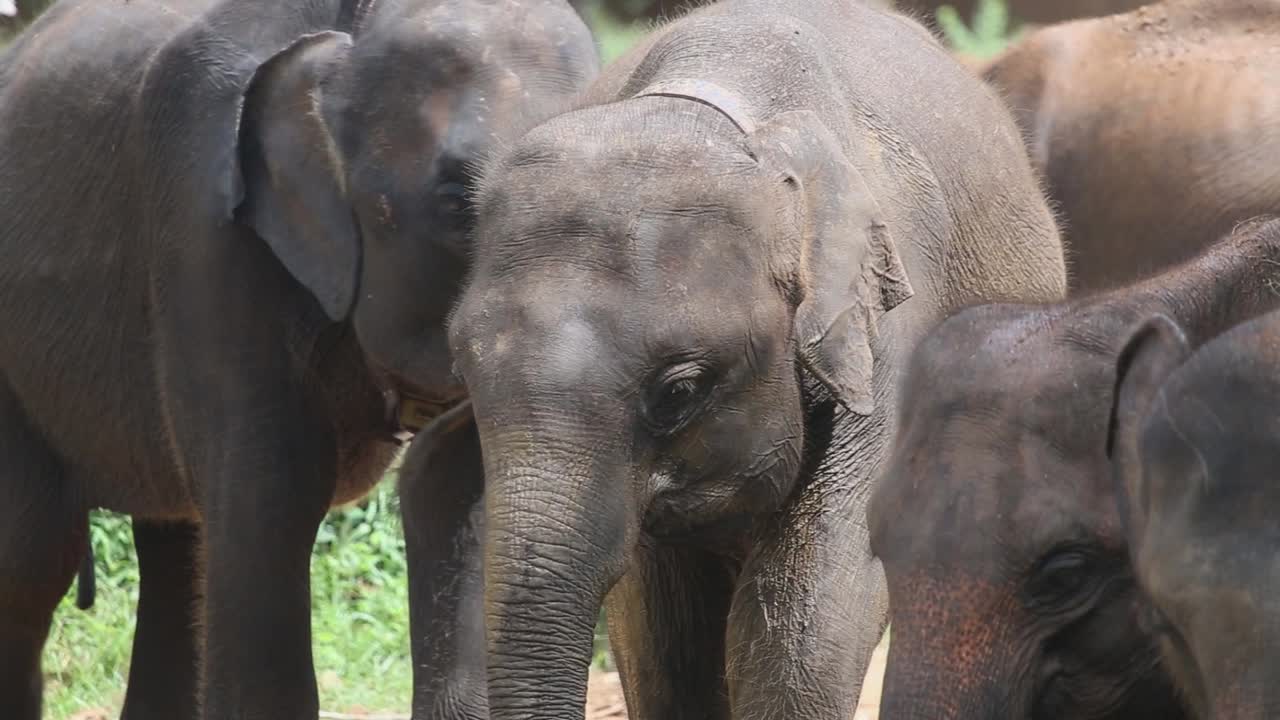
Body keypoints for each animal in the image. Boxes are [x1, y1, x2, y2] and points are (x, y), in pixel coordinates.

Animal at [0, 0, 597, 718]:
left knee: (173, 543)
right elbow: (273, 494)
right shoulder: (206, 234)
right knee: (33, 561)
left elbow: (459, 491)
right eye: (457, 204)